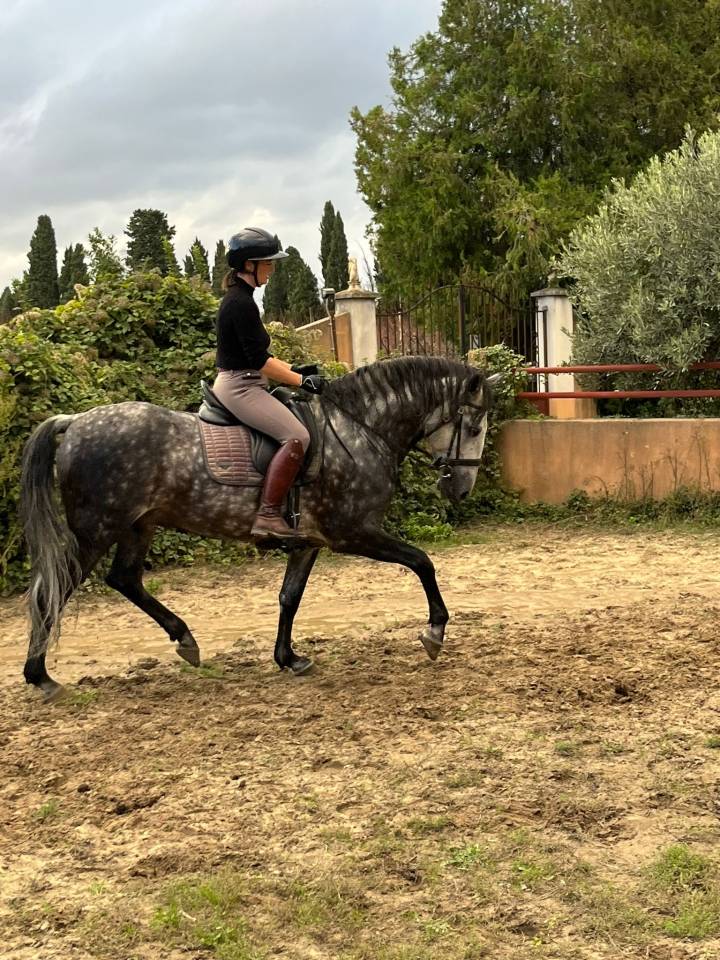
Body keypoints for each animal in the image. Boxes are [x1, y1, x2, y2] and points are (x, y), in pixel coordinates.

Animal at [20, 356, 498, 700]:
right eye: (474, 426)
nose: (461, 490)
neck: (357, 429)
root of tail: (75, 421)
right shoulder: (353, 533)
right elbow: (422, 562)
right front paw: (435, 631)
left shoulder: (308, 541)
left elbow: (290, 597)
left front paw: (288, 657)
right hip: (96, 530)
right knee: (53, 592)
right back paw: (41, 677)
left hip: (139, 526)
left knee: (125, 579)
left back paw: (184, 639)